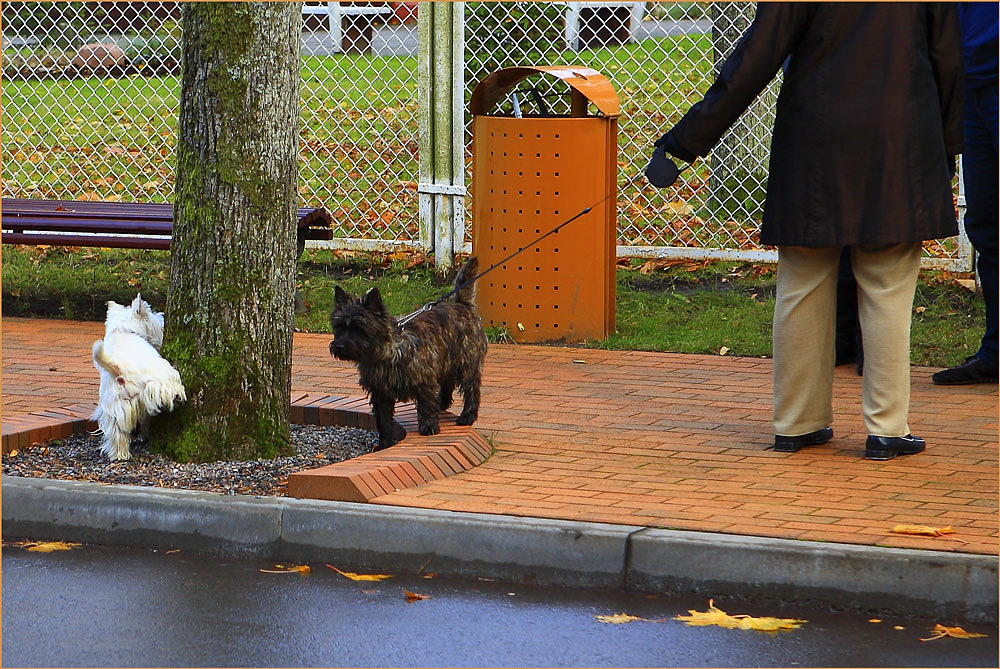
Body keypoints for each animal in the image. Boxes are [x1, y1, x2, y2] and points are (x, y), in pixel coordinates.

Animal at [91, 296, 187, 460]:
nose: (162, 318)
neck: (123, 330)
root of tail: (120, 372)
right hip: (159, 376)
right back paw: (178, 395)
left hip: (114, 408)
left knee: (118, 433)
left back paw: (120, 454)